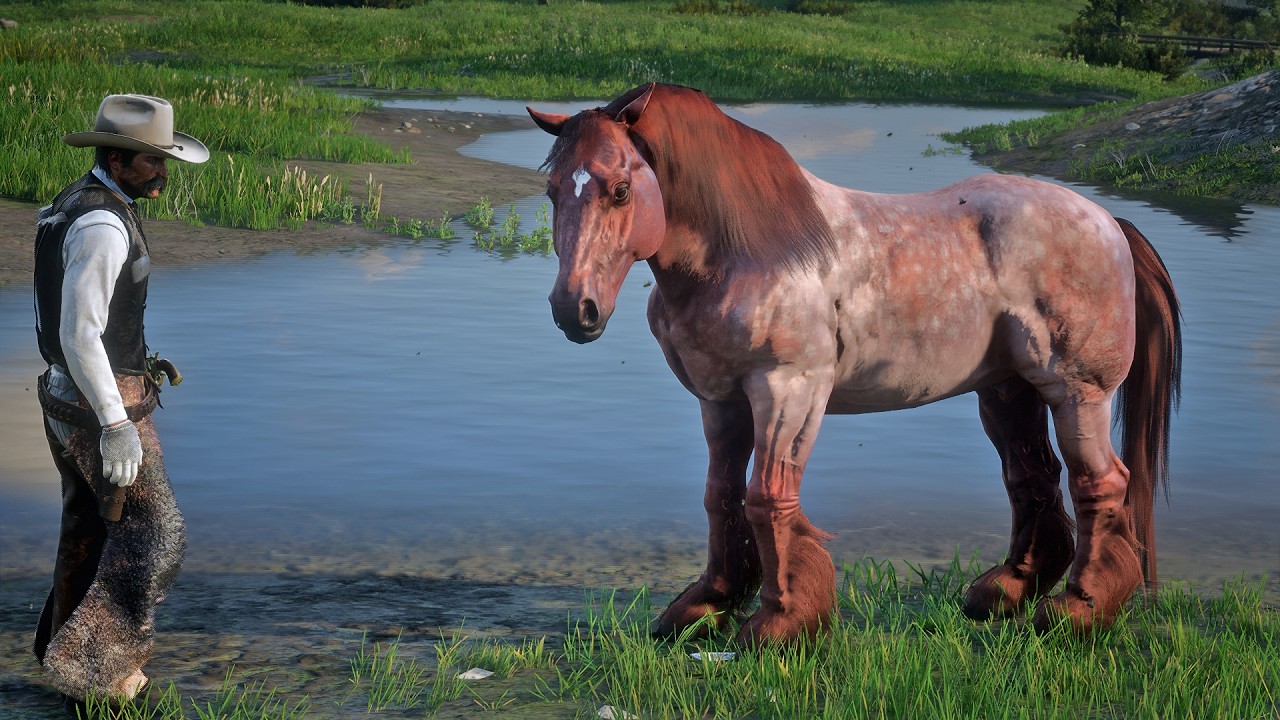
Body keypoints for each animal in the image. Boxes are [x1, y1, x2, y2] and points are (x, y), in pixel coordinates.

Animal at [527, 82, 1181, 645]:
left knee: (1101, 482)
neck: (740, 253)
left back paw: (1080, 609)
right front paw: (706, 605)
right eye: (553, 190)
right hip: (1007, 390)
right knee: (1032, 478)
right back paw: (1005, 593)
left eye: (619, 189)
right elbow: (721, 495)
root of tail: (1109, 225)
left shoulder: (788, 388)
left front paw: (782, 621)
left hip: (1076, 391)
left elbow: (768, 498)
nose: (574, 310)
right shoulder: (719, 398)